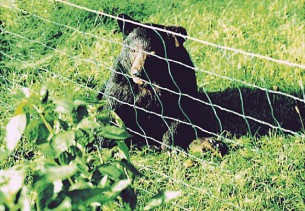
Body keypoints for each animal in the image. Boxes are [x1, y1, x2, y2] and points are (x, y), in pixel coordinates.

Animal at [100, 14, 202, 150]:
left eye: (154, 54)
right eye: (133, 50)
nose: (137, 73)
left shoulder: (182, 80)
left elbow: (182, 111)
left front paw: (170, 146)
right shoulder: (121, 80)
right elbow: (113, 106)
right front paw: (106, 141)